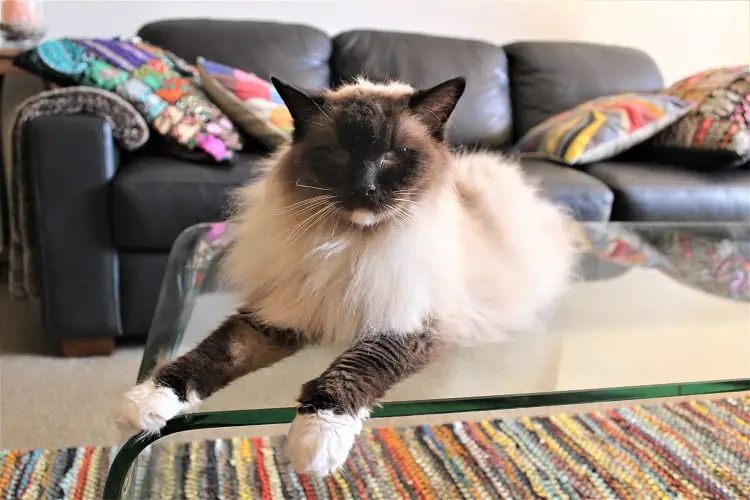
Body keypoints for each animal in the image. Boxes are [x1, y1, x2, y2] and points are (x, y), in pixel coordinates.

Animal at [117, 75, 580, 476]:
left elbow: (355, 367)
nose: (365, 189)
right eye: (339, 153)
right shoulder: (281, 312)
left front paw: (316, 441)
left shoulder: (408, 322)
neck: (350, 245)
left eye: (393, 155)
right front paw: (146, 402)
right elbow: (211, 353)